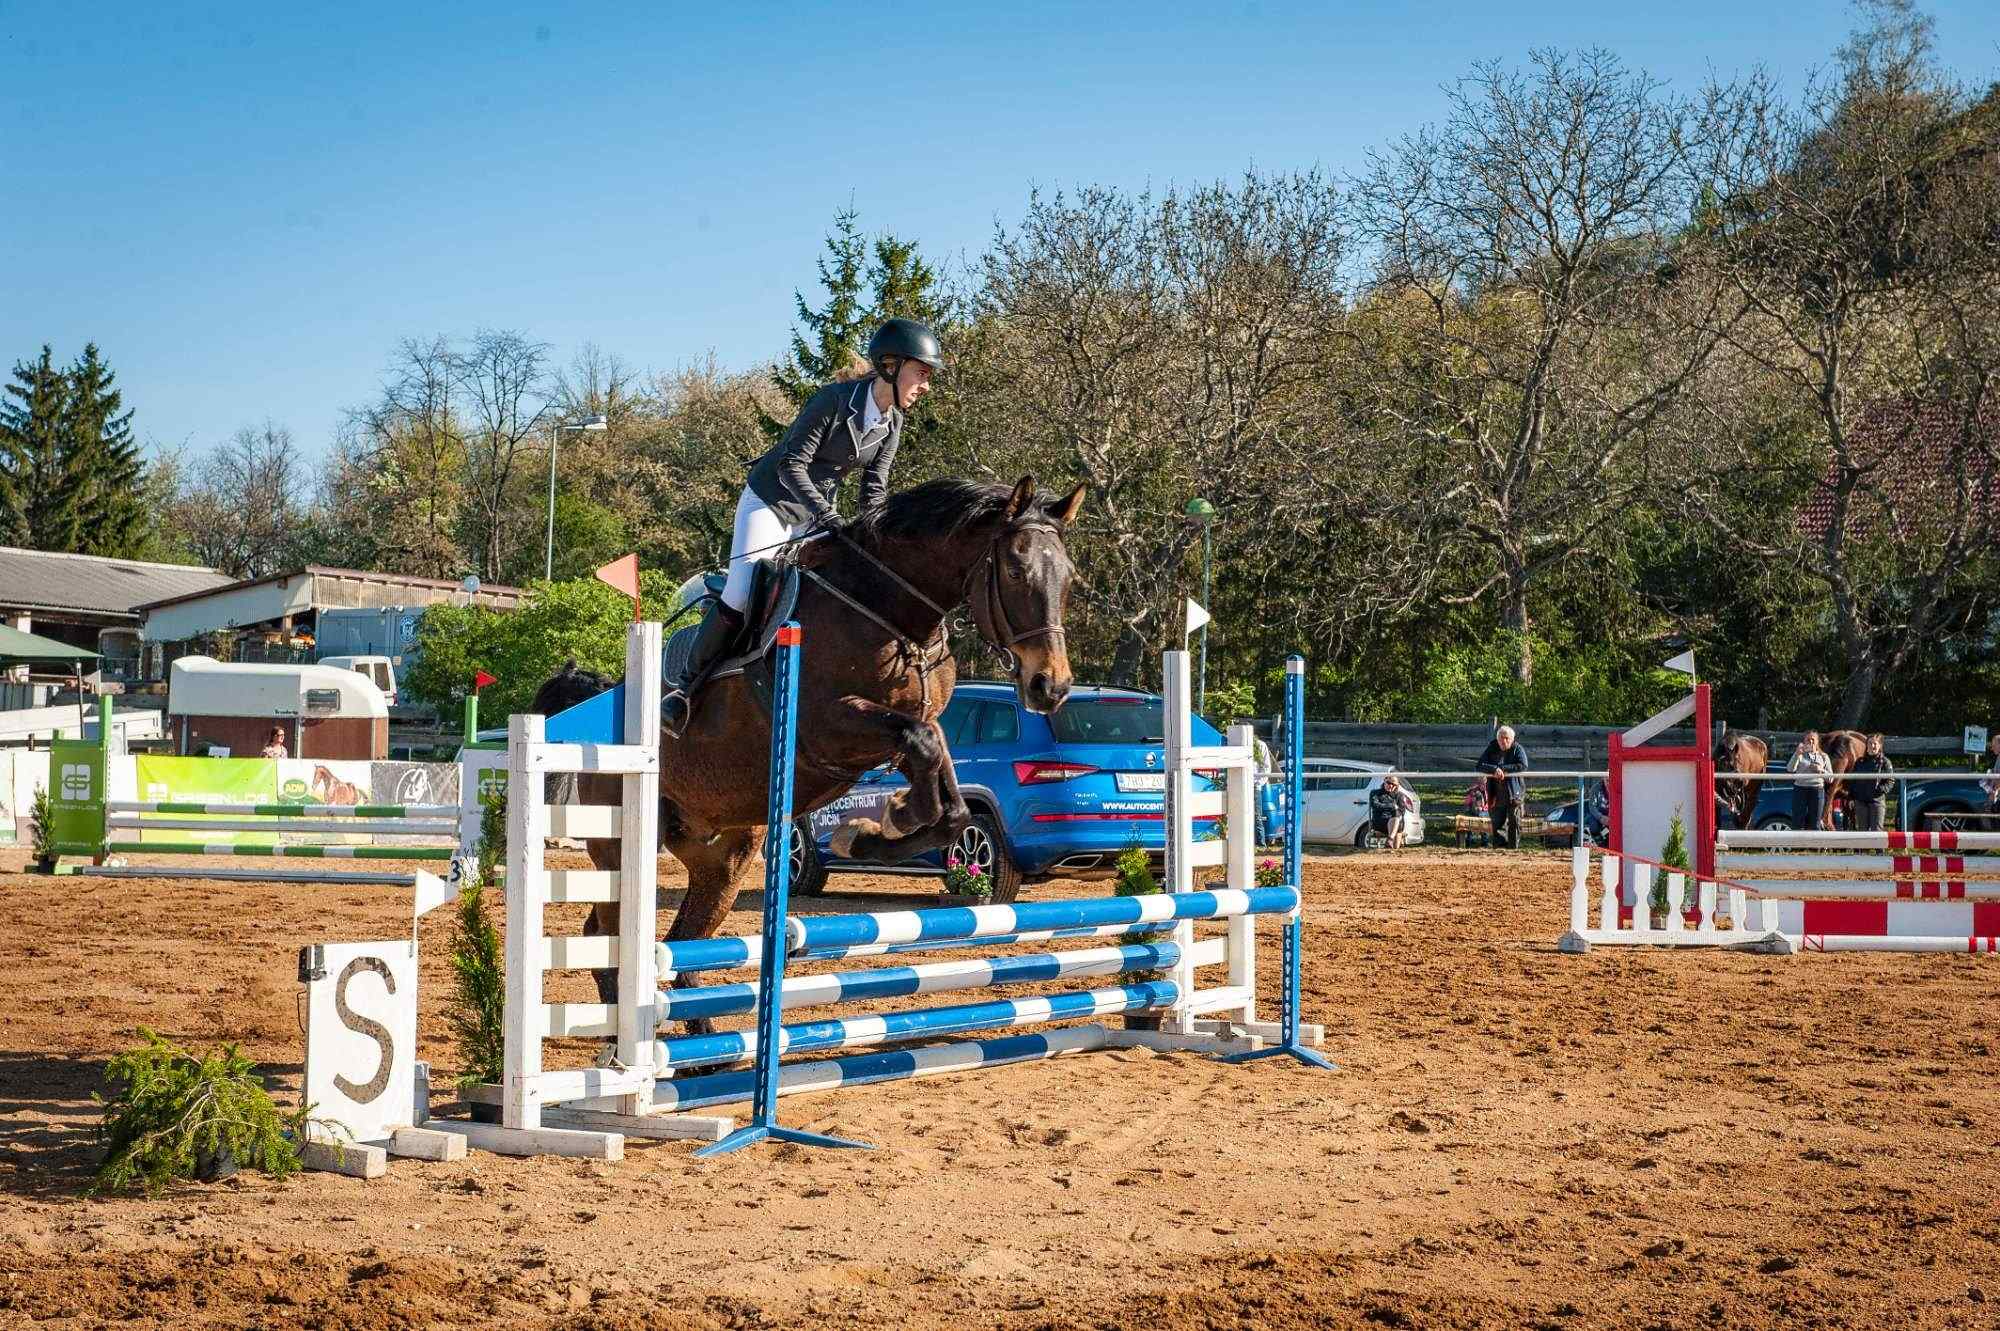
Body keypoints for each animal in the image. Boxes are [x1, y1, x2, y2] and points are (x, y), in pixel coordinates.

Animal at [532, 477, 1088, 1023]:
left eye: (1069, 577)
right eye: (1014, 570)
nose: (1051, 687)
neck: (888, 612)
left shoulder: (917, 724)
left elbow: (946, 793)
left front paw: (876, 829)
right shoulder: (828, 726)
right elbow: (923, 749)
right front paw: (880, 825)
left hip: (725, 855)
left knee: (682, 946)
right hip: (625, 843)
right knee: (608, 937)